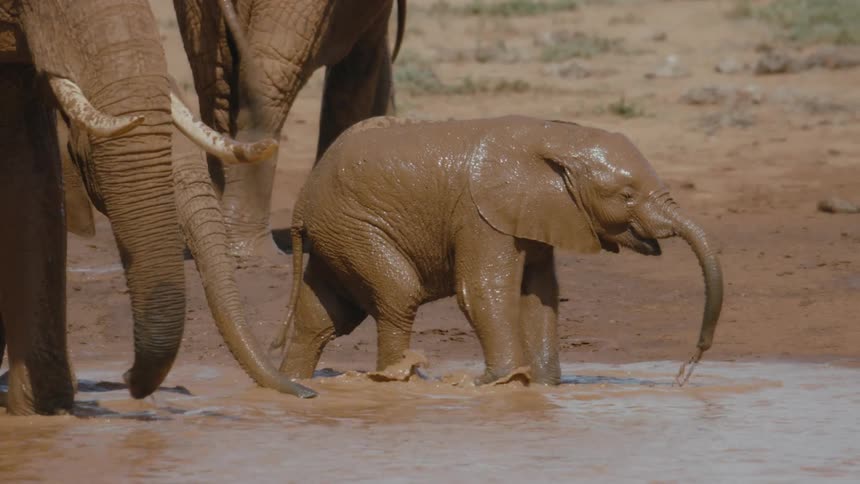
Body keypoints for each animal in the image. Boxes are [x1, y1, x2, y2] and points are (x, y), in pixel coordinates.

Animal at [271, 115, 723, 386]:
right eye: (627, 195)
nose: (688, 367)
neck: (556, 137)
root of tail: (301, 203)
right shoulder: (479, 215)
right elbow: (483, 291)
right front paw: (502, 383)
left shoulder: (535, 215)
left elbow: (539, 297)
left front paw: (544, 386)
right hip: (354, 226)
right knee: (398, 294)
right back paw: (399, 380)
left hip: (337, 236)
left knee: (323, 317)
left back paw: (295, 383)